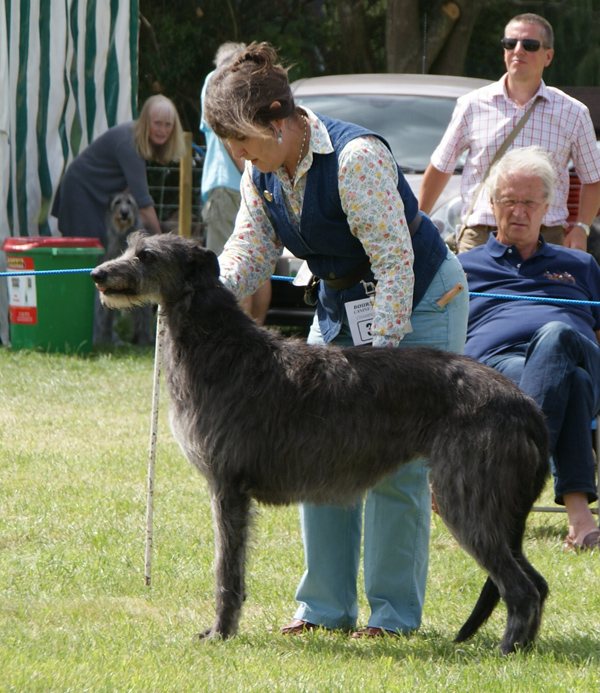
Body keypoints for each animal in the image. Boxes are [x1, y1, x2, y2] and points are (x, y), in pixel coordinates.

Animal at [91, 232, 552, 656]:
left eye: (147, 256)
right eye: (130, 247)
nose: (98, 274)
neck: (218, 344)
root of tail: (525, 403)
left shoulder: (227, 486)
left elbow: (226, 569)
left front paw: (221, 632)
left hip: (466, 497)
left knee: (522, 586)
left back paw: (507, 651)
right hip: (498, 508)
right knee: (538, 581)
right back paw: (524, 648)